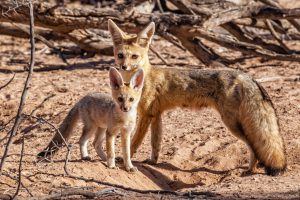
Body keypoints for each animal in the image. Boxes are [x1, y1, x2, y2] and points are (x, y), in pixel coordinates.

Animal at [107, 19, 286, 176]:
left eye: (134, 56)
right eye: (120, 55)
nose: (123, 66)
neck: (144, 77)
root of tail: (244, 75)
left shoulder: (146, 115)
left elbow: (134, 142)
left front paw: (126, 160)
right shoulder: (156, 115)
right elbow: (155, 143)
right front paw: (152, 161)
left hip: (231, 123)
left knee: (252, 145)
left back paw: (250, 169)